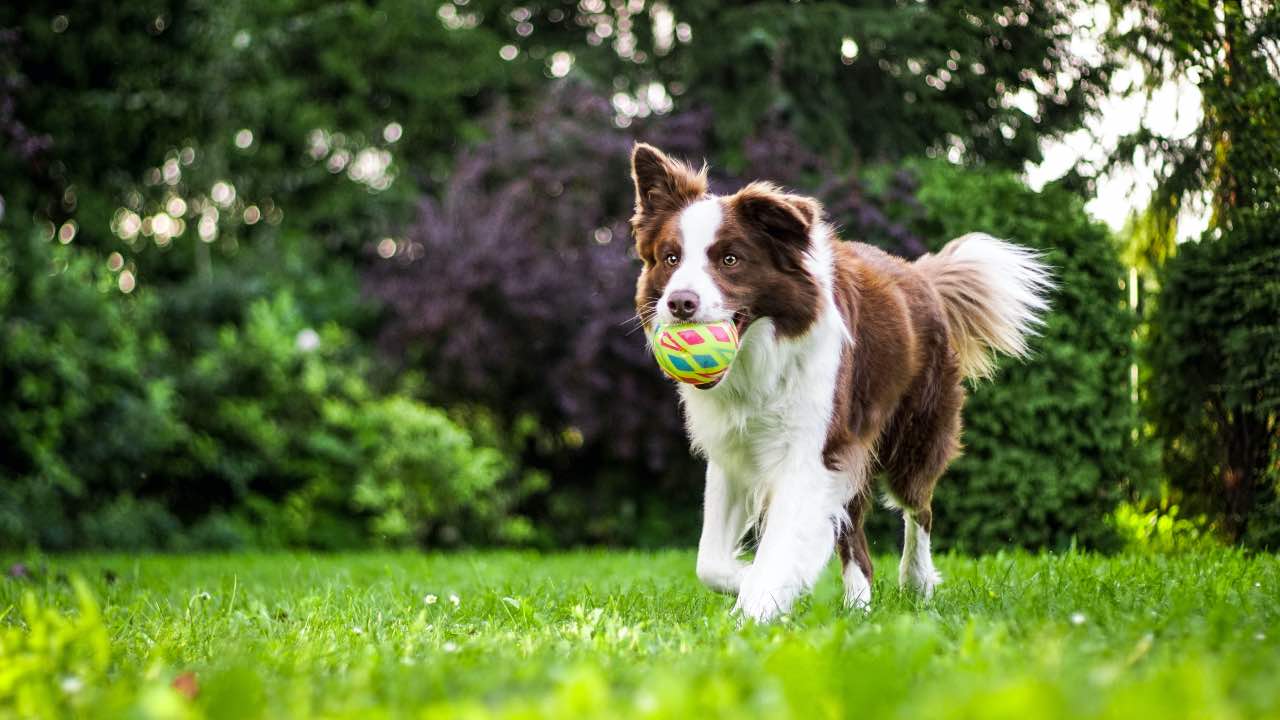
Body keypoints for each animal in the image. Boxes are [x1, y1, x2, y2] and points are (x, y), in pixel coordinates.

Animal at [627, 142, 1049, 620]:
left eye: (730, 260)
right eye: (671, 258)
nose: (680, 303)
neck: (759, 359)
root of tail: (920, 275)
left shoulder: (812, 450)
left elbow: (780, 545)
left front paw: (757, 607)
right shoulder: (734, 452)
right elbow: (709, 562)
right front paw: (755, 582)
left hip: (914, 434)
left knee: (918, 508)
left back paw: (917, 582)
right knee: (856, 538)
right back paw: (859, 606)